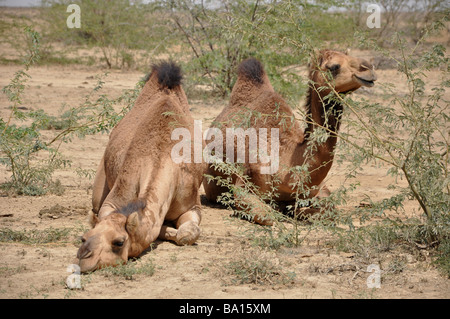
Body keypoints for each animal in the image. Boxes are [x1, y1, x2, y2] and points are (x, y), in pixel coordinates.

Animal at [76, 61, 206, 274]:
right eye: (83, 237)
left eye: (119, 242)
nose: (83, 257)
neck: (163, 153)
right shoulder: (118, 194)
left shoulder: (192, 203)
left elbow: (187, 233)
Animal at [203, 50, 376, 225]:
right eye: (334, 66)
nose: (368, 67)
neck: (283, 154)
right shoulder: (246, 180)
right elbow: (268, 217)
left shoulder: (317, 188)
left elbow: (330, 211)